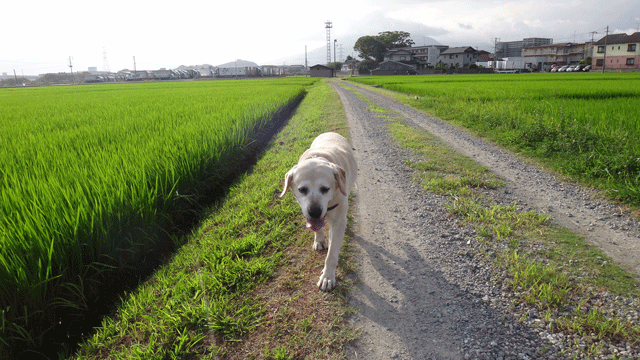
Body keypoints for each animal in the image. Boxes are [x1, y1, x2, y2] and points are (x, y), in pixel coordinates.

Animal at [282, 134, 358, 292]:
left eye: (325, 189)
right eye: (302, 189)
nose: (315, 212)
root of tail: (330, 133)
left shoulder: (337, 221)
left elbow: (331, 255)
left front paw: (327, 277)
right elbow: (316, 228)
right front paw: (319, 239)